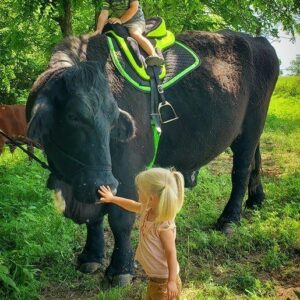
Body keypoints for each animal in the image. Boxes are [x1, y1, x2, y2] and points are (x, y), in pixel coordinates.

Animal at [25, 29, 278, 282]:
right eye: (72, 116)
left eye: (113, 118)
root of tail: (256, 40)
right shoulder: (91, 179)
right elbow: (94, 216)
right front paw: (91, 256)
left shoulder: (126, 170)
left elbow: (120, 218)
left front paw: (121, 269)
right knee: (255, 162)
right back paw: (256, 199)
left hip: (252, 127)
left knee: (241, 171)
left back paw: (229, 219)